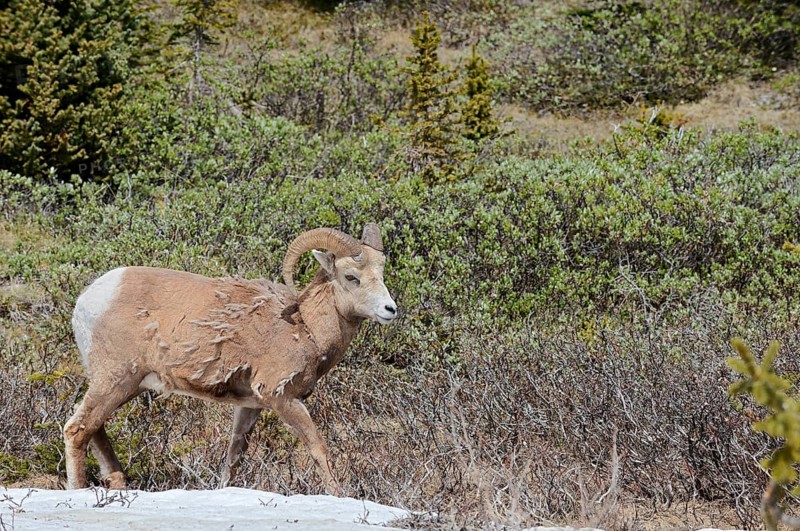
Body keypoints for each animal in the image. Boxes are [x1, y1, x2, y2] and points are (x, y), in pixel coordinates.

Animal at [64, 224, 397, 496]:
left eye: (380, 275)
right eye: (351, 277)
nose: (390, 309)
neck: (304, 326)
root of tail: (88, 299)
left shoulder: (249, 406)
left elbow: (234, 456)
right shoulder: (283, 398)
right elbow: (318, 446)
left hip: (123, 385)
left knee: (95, 430)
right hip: (116, 380)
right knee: (77, 430)